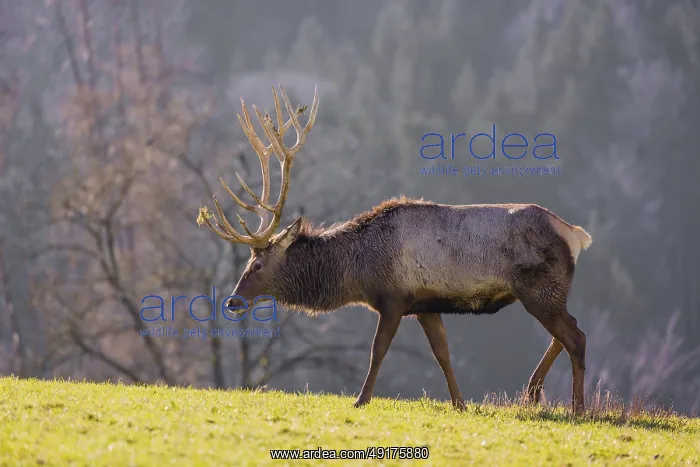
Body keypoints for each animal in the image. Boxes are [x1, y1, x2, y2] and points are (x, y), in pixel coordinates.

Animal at [197, 85, 593, 415]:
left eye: (257, 264)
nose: (233, 301)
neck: (356, 272)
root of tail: (575, 235)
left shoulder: (393, 297)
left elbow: (378, 350)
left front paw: (361, 399)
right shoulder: (425, 304)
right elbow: (443, 355)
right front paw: (460, 403)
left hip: (539, 288)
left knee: (575, 336)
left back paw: (577, 408)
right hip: (547, 292)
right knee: (565, 332)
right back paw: (532, 394)